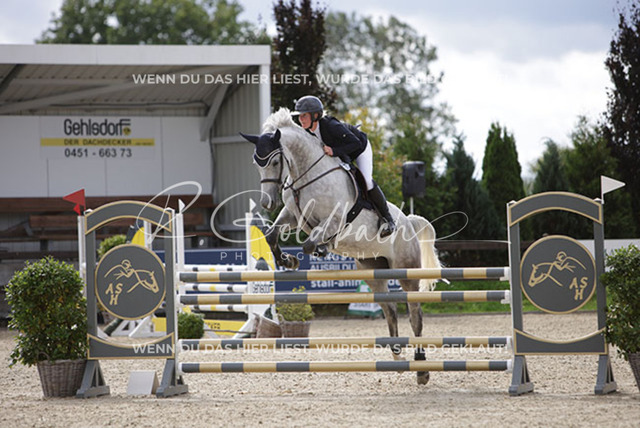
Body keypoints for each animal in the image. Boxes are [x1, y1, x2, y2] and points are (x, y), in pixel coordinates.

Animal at [241, 108, 441, 385]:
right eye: (256, 163)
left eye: (274, 162)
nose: (267, 203)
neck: (306, 174)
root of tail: (408, 222)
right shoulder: (292, 216)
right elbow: (272, 235)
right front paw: (288, 261)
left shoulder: (334, 219)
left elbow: (310, 242)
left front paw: (320, 248)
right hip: (373, 269)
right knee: (390, 309)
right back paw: (398, 356)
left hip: (406, 270)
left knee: (415, 314)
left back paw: (421, 369)